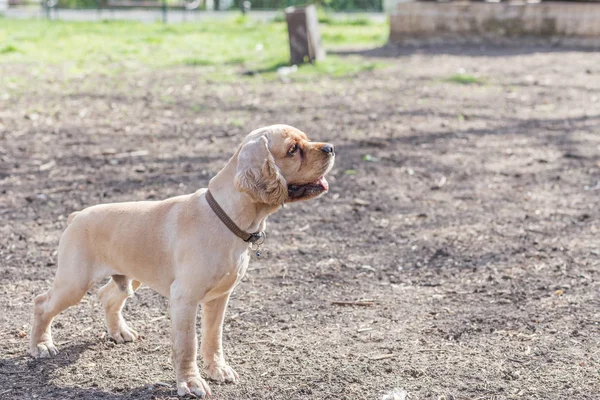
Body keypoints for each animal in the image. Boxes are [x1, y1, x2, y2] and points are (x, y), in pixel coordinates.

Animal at [30, 125, 336, 396]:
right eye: (293, 149)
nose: (331, 148)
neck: (226, 217)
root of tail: (77, 215)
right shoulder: (185, 298)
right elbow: (188, 345)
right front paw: (191, 383)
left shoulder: (219, 298)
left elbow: (213, 337)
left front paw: (218, 370)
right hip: (74, 283)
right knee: (42, 304)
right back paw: (42, 346)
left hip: (130, 278)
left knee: (107, 297)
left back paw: (120, 333)